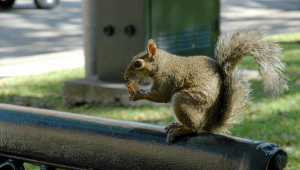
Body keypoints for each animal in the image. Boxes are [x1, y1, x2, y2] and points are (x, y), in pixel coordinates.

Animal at [123, 27, 288, 145]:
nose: (125, 77)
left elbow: (160, 95)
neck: (162, 64)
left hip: (183, 101)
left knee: (194, 129)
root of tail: (208, 124)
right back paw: (176, 125)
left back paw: (179, 130)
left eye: (138, 64)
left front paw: (137, 95)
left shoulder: (167, 79)